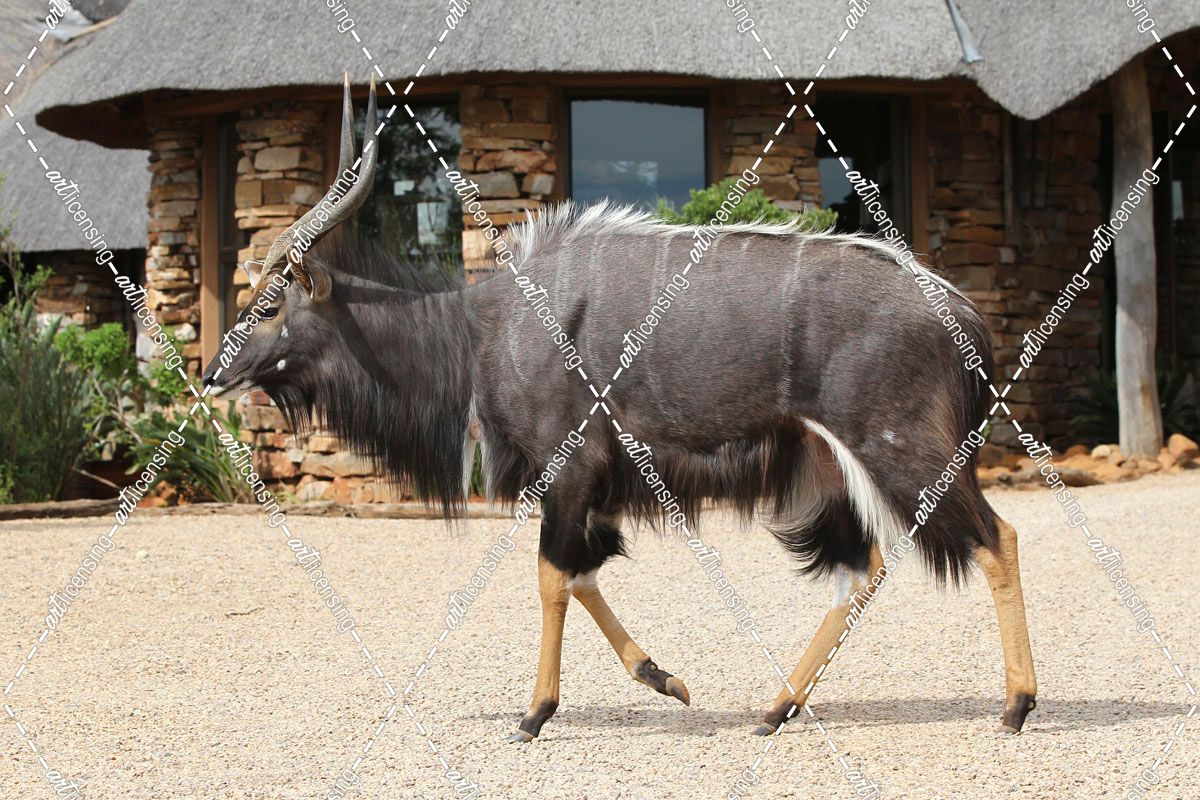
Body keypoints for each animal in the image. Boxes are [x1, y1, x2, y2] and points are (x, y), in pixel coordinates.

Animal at [200, 76, 1037, 743]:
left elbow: (551, 576)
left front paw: (534, 714)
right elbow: (582, 574)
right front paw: (664, 679)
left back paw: (1016, 706)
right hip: (825, 470)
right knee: (865, 566)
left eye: (269, 304)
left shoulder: (570, 466)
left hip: (900, 451)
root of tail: (967, 316)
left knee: (997, 537)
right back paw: (775, 709)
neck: (482, 328)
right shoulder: (589, 486)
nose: (211, 376)